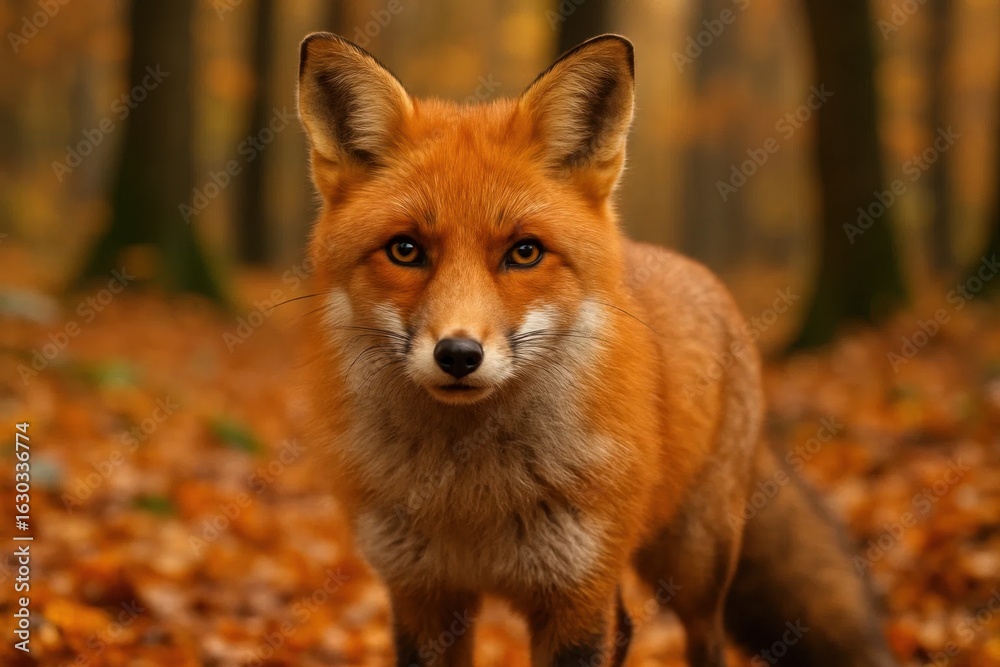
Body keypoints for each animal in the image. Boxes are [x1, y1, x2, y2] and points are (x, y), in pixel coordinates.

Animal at [296, 32, 898, 667]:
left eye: (525, 252)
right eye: (405, 250)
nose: (459, 354)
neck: (471, 495)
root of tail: (692, 269)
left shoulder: (576, 595)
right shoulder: (423, 597)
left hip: (692, 564)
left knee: (704, 637)